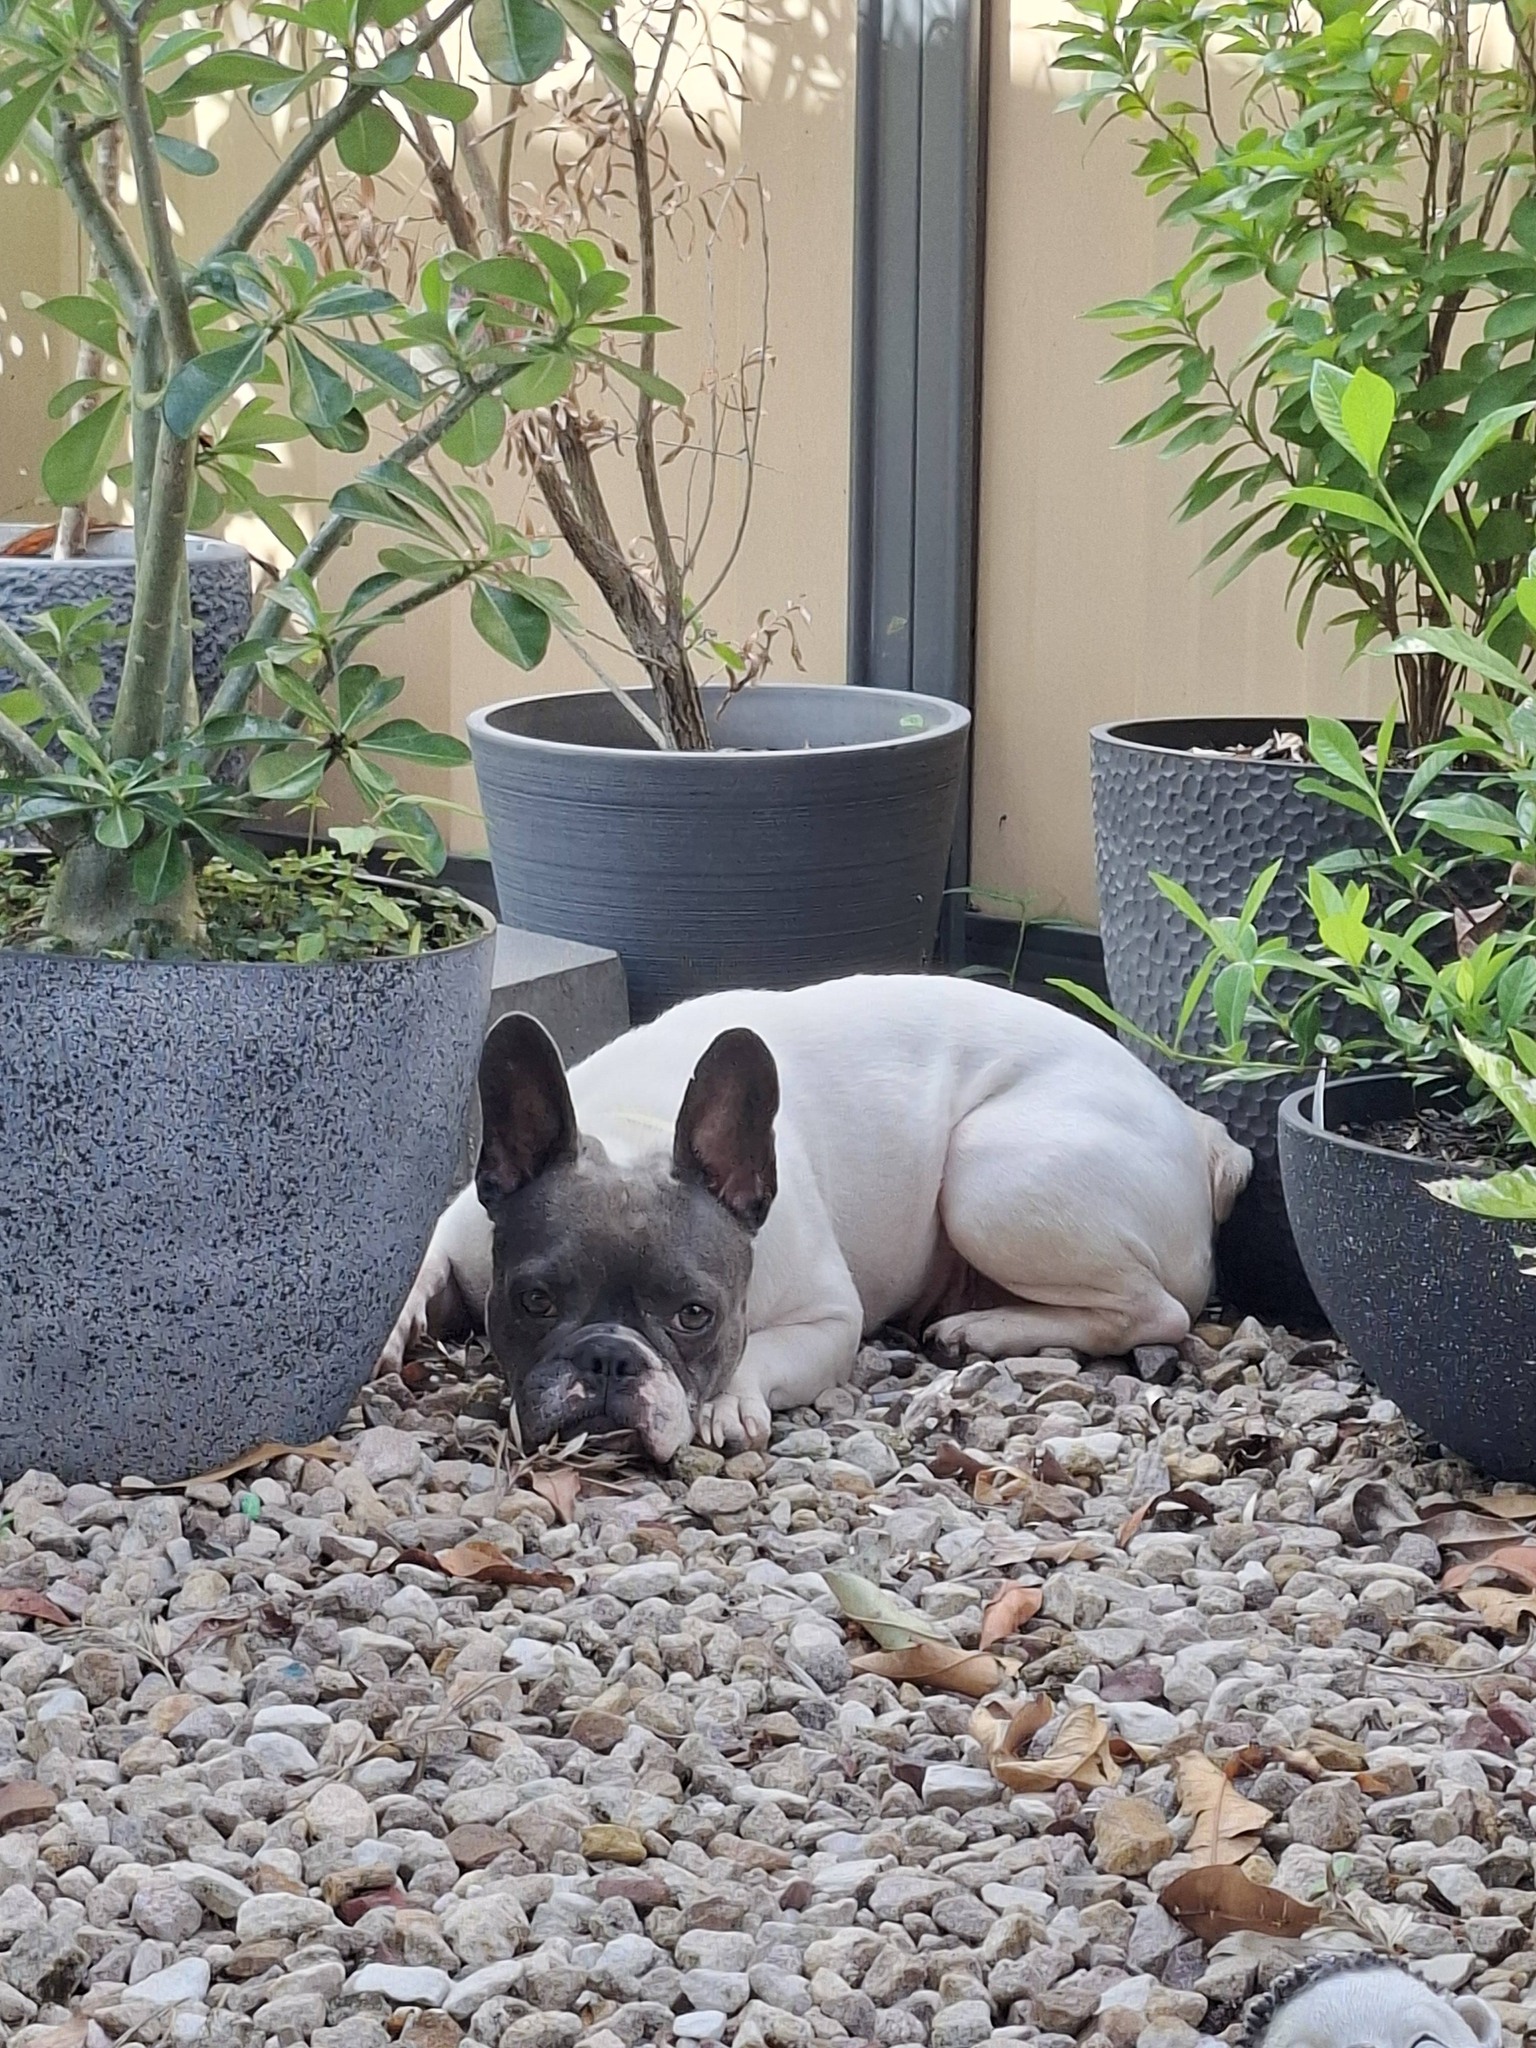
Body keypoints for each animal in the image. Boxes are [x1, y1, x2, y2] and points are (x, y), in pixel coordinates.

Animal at [378, 974, 1251, 1460]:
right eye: (533, 1301)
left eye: (695, 1315)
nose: (609, 1359)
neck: (636, 1126)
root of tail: (1202, 1134)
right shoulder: (459, 1227)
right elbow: (416, 1266)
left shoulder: (830, 1318)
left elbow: (762, 1352)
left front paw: (730, 1400)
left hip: (988, 1178)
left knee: (1156, 1310)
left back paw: (986, 1328)